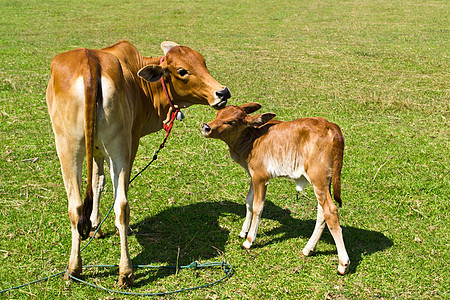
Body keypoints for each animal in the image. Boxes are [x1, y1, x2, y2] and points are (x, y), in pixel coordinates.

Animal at [201, 103, 352, 274]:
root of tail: (331, 126)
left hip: (318, 179)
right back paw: (308, 249)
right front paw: (243, 232)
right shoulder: (252, 175)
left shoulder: (261, 177)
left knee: (331, 212)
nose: (206, 127)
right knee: (322, 213)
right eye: (218, 114)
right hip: (323, 183)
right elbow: (248, 201)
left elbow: (257, 207)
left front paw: (249, 240)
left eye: (231, 122)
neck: (251, 139)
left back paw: (343, 264)